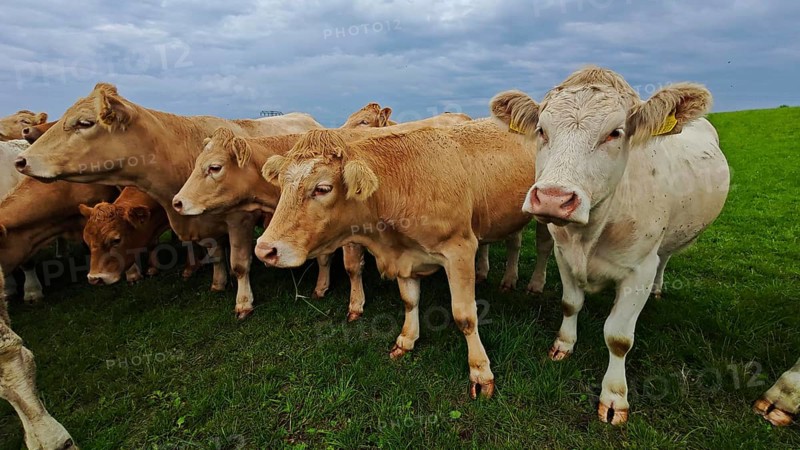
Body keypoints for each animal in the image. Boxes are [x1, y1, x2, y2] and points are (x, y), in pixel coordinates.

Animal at [15, 83, 322, 318]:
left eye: (85, 122)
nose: (21, 160)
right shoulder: (202, 222)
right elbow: (215, 256)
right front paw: (218, 282)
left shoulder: (239, 220)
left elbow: (239, 263)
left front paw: (243, 302)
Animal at [252, 120, 554, 399]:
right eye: (282, 184)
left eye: (322, 188)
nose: (265, 250)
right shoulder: (405, 256)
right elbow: (409, 300)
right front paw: (407, 339)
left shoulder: (460, 250)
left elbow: (465, 316)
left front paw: (480, 371)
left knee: (541, 247)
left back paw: (532, 284)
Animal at [489, 66, 730, 424]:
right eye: (542, 130)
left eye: (615, 133)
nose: (553, 198)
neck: (590, 233)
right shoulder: (564, 255)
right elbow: (570, 304)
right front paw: (563, 346)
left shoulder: (639, 271)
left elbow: (618, 337)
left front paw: (615, 396)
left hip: (667, 244)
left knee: (664, 259)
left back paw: (659, 290)